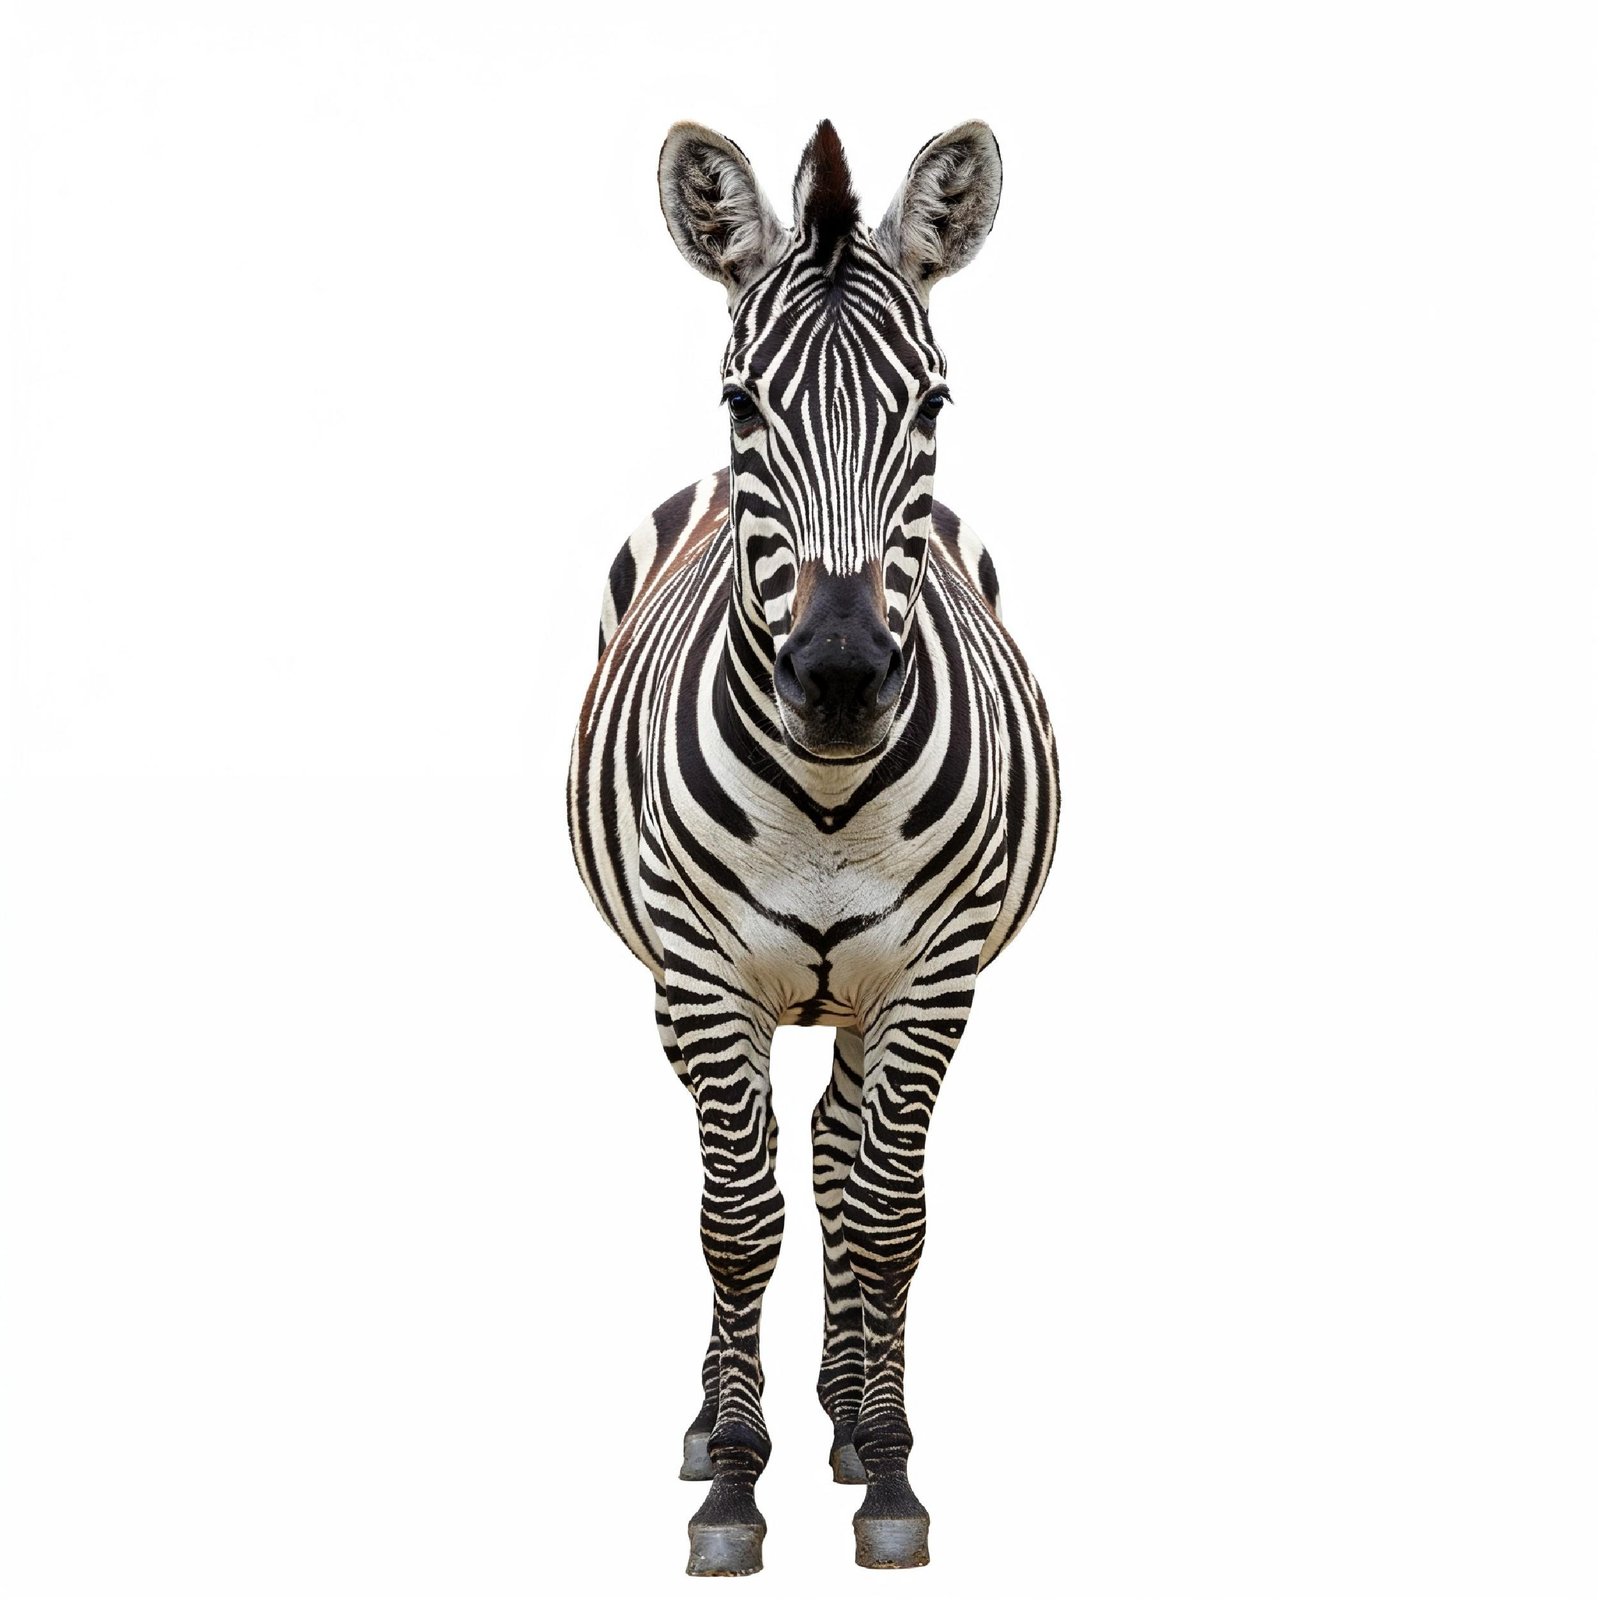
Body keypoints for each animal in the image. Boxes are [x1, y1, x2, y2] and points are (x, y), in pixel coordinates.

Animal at [567, 118, 1059, 1576]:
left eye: (933, 408)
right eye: (742, 407)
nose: (839, 678)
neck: (830, 792)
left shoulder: (933, 977)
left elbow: (887, 1214)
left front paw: (886, 1467)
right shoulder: (703, 978)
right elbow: (737, 1221)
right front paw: (733, 1482)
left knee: (842, 1155)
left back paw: (846, 1413)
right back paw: (714, 1421)